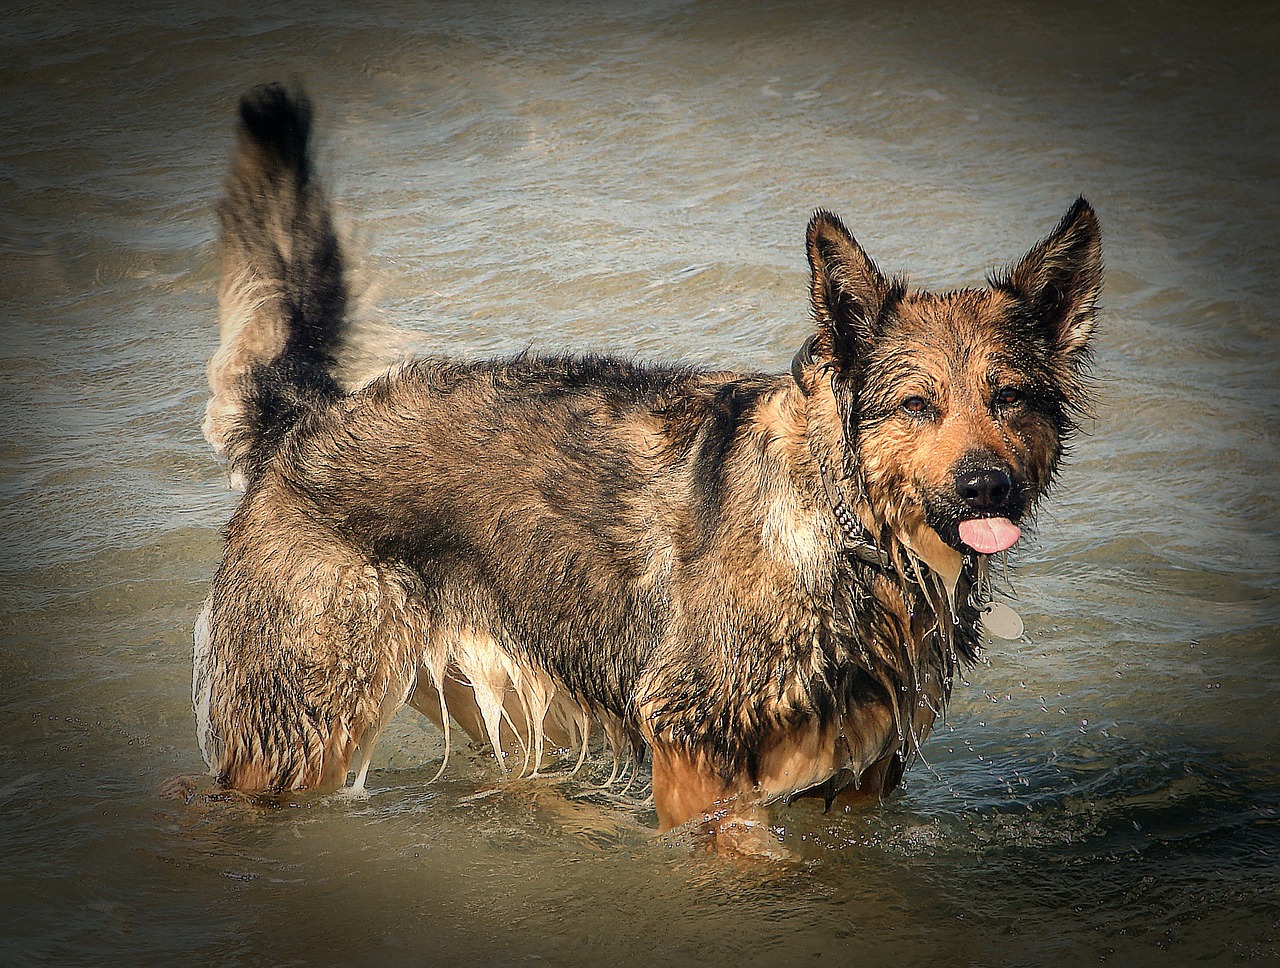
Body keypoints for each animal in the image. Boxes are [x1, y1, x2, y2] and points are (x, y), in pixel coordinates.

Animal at [192, 85, 1100, 845]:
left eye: (1011, 397)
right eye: (917, 405)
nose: (987, 487)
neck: (845, 530)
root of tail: (308, 416)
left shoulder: (857, 783)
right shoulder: (694, 752)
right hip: (298, 737)